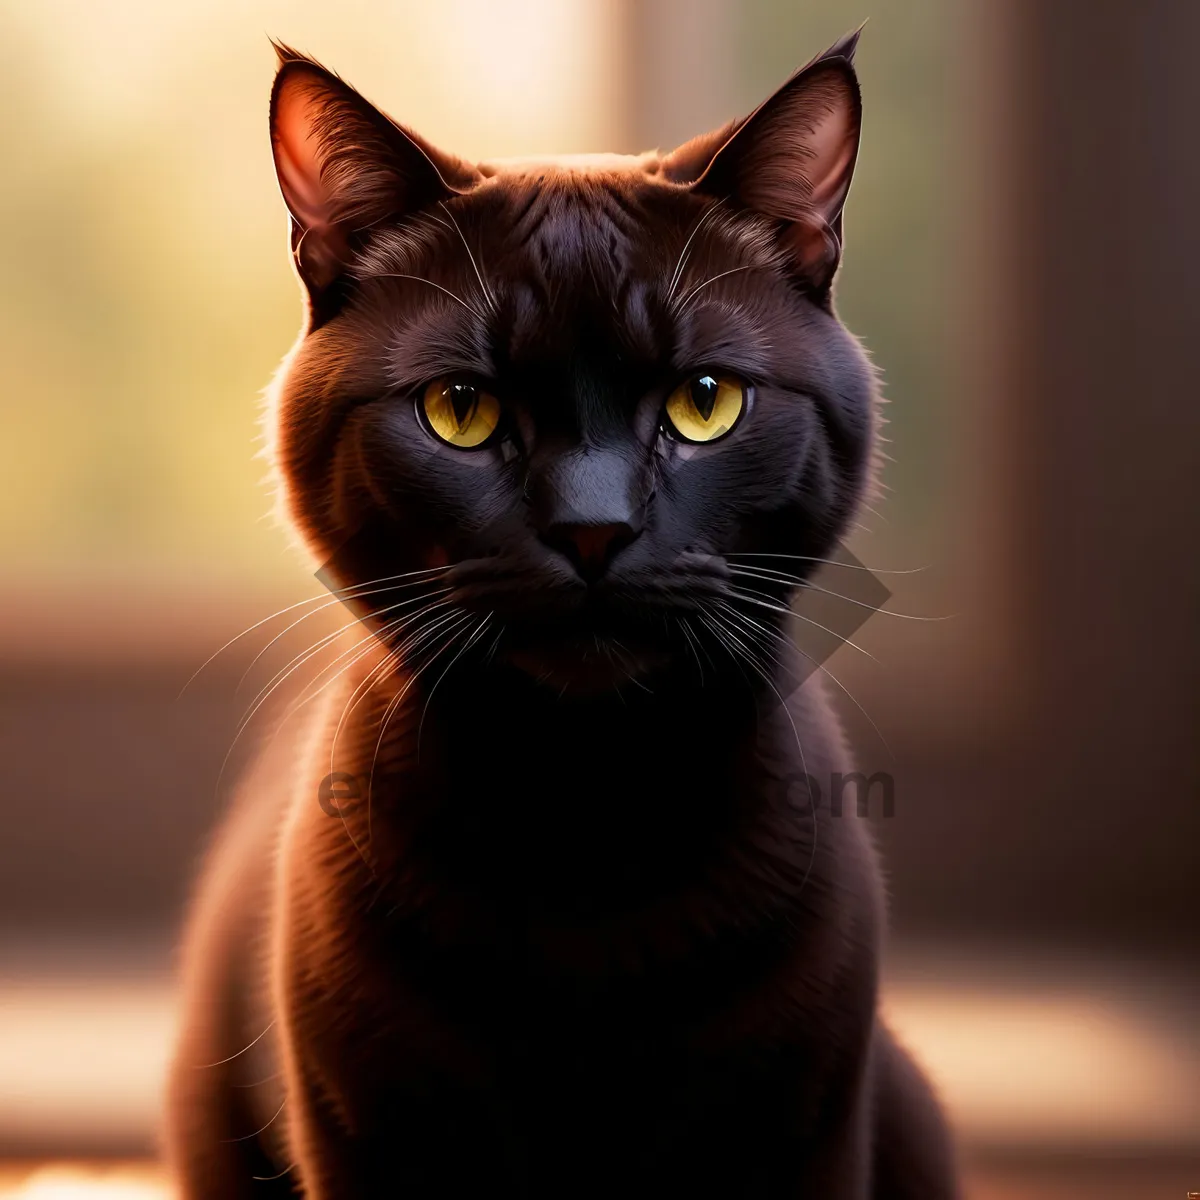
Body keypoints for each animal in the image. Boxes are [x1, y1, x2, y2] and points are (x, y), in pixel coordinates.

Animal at [164, 28, 960, 1200]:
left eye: (706, 402)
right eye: (461, 410)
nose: (593, 528)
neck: (586, 818)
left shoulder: (801, 1126)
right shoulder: (374, 1129)